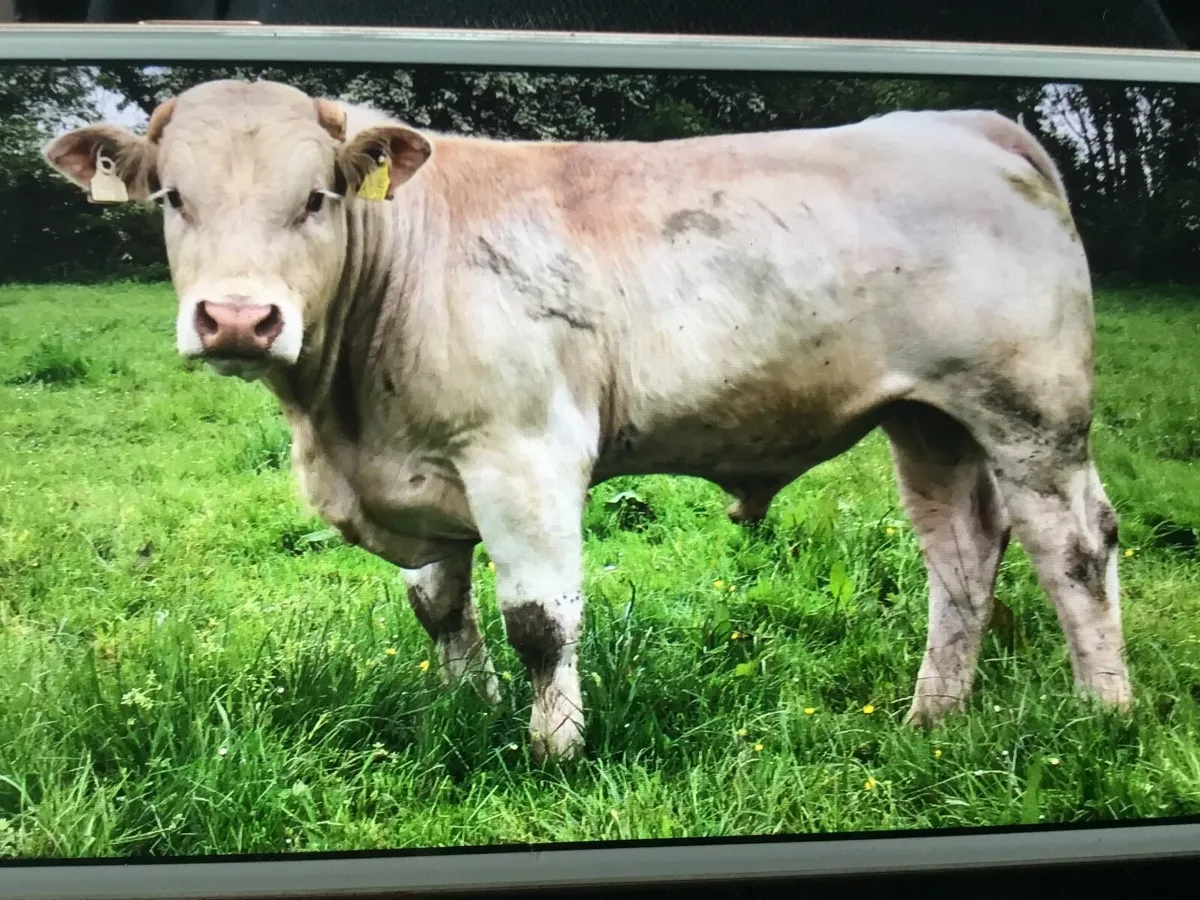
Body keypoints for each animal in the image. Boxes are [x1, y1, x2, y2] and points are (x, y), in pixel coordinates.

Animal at [44, 78, 1133, 761]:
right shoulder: (420, 477)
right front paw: (470, 714)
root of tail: (970, 122)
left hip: (1031, 411)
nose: (237, 317)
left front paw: (553, 749)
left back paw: (1104, 715)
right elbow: (441, 609)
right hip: (929, 420)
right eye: (171, 197)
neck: (344, 419)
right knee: (962, 556)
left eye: (315, 197)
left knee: (1074, 548)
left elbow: (539, 622)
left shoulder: (524, 455)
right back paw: (931, 719)